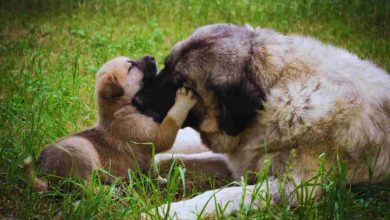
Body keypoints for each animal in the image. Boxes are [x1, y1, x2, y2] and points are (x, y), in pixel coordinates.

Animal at [22, 55, 197, 192]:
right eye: (131, 65)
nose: (153, 57)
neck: (120, 110)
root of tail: (44, 171)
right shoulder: (157, 136)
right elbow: (172, 118)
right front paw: (184, 99)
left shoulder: (149, 157)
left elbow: (152, 169)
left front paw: (159, 180)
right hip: (82, 151)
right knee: (85, 188)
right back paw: (110, 191)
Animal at [134, 24, 390, 218]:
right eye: (165, 66)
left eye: (182, 85)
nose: (136, 101)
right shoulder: (239, 159)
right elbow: (177, 159)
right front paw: (149, 169)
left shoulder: (296, 188)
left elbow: (222, 194)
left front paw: (170, 211)